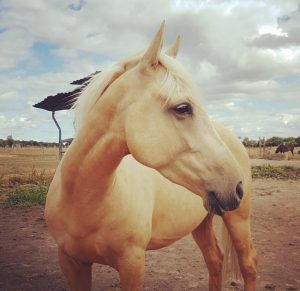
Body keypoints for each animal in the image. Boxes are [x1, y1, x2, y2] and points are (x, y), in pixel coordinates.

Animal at [45, 23, 256, 291]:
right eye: (183, 108)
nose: (237, 186)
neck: (82, 200)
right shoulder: (71, 263)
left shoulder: (132, 263)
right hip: (202, 223)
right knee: (215, 260)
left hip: (238, 218)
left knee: (248, 265)